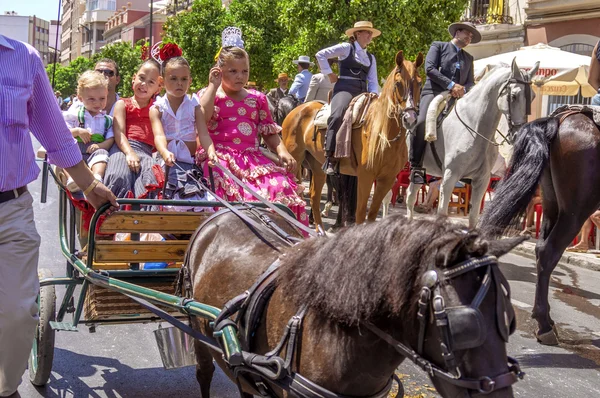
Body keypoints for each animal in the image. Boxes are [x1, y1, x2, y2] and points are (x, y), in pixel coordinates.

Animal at [282, 50, 422, 230]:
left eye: (420, 84)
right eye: (398, 83)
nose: (410, 119)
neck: (384, 135)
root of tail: (297, 110)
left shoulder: (387, 179)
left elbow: (371, 215)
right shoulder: (365, 176)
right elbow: (360, 215)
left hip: (318, 167)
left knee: (313, 196)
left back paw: (320, 230)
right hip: (294, 160)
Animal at [408, 58, 540, 227]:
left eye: (533, 96)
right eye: (514, 96)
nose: (519, 134)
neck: (475, 126)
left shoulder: (481, 181)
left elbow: (473, 218)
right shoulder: (450, 177)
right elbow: (441, 215)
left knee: (410, 195)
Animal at [478, 109, 600, 346]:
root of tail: (561, 118)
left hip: (552, 206)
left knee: (541, 250)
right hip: (575, 211)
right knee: (548, 251)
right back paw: (545, 325)